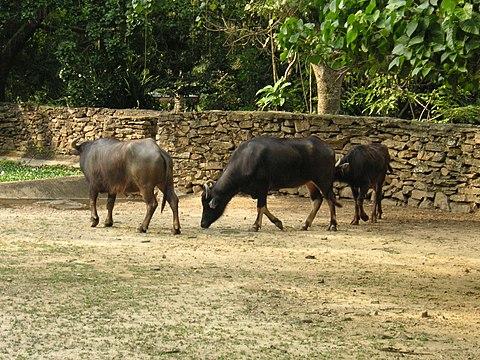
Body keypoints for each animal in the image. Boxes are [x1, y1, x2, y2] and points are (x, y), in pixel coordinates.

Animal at [200, 135, 342, 231]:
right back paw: (305, 225)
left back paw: (333, 225)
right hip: (310, 182)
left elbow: (261, 207)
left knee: (330, 199)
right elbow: (264, 208)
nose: (203, 224)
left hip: (324, 181)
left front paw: (255, 226)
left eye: (207, 206)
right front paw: (278, 223)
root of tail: (329, 149)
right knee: (317, 199)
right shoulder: (258, 190)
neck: (246, 160)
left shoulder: (262, 187)